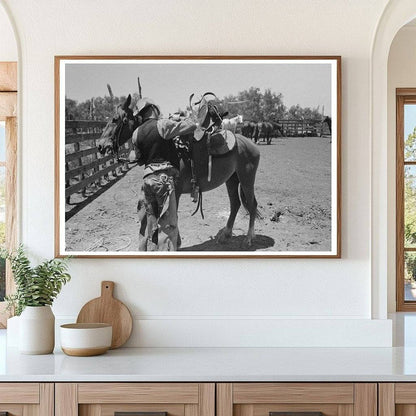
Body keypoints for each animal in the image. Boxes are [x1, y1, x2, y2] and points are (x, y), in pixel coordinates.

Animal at [97, 95, 260, 249]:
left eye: (115, 119)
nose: (100, 145)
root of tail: (250, 144)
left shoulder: (176, 190)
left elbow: (172, 215)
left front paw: (177, 242)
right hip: (232, 179)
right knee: (235, 204)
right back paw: (225, 235)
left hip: (246, 179)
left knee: (252, 205)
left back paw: (248, 239)